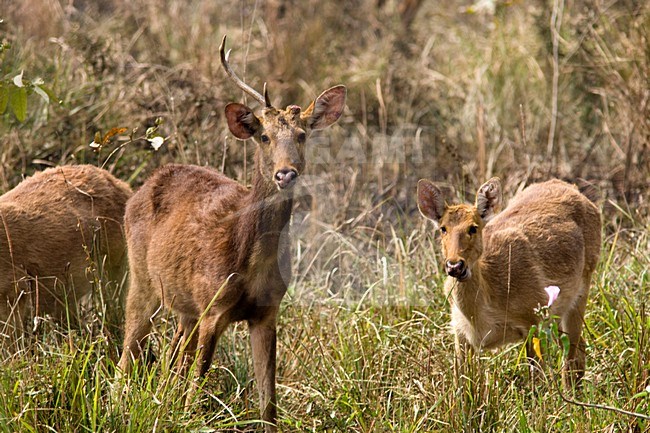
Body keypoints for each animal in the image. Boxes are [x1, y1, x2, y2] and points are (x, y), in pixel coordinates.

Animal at [119, 36, 346, 428]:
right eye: (264, 136)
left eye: (302, 135)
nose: (286, 173)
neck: (249, 261)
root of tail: (142, 187)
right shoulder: (213, 306)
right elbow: (196, 391)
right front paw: (188, 418)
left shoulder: (267, 311)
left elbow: (268, 405)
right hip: (143, 279)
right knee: (127, 354)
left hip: (184, 307)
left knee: (172, 359)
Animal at [418, 176, 600, 384]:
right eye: (443, 228)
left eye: (473, 227)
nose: (455, 266)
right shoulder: (459, 331)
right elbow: (459, 382)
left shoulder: (533, 319)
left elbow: (536, 380)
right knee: (579, 348)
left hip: (581, 288)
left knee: (572, 354)